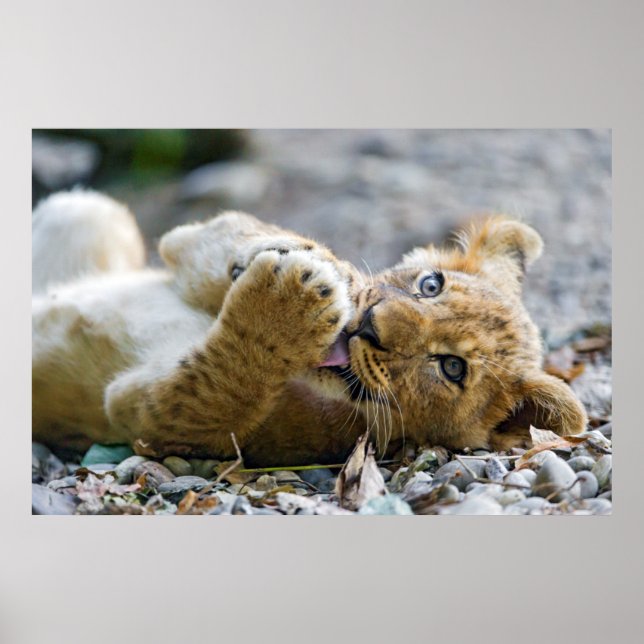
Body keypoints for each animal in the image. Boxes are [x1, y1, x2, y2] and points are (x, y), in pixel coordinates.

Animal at [32, 189, 587, 466]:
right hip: (91, 210)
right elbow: (207, 235)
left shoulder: (154, 425)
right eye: (430, 285)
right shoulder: (181, 248)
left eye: (452, 368)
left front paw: (286, 305)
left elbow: (219, 384)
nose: (369, 325)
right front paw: (317, 264)